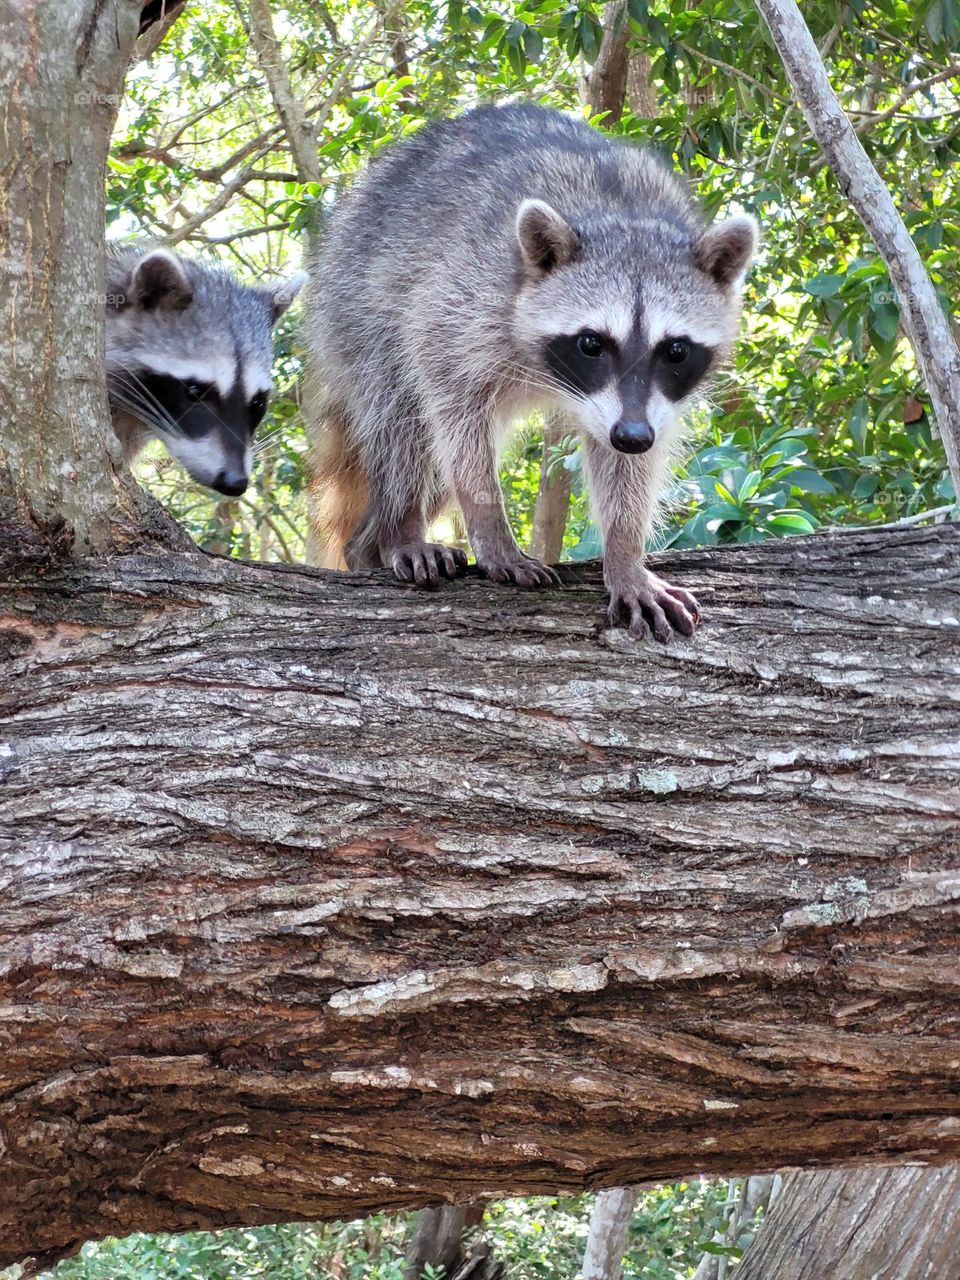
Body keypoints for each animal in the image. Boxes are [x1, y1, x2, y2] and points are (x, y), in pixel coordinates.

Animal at [308, 102, 757, 640]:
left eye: (674, 350)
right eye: (591, 343)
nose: (630, 435)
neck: (622, 218)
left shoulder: (648, 405)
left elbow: (631, 466)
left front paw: (625, 552)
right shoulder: (464, 301)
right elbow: (451, 405)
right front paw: (490, 527)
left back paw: (369, 542)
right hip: (358, 302)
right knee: (405, 424)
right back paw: (401, 526)